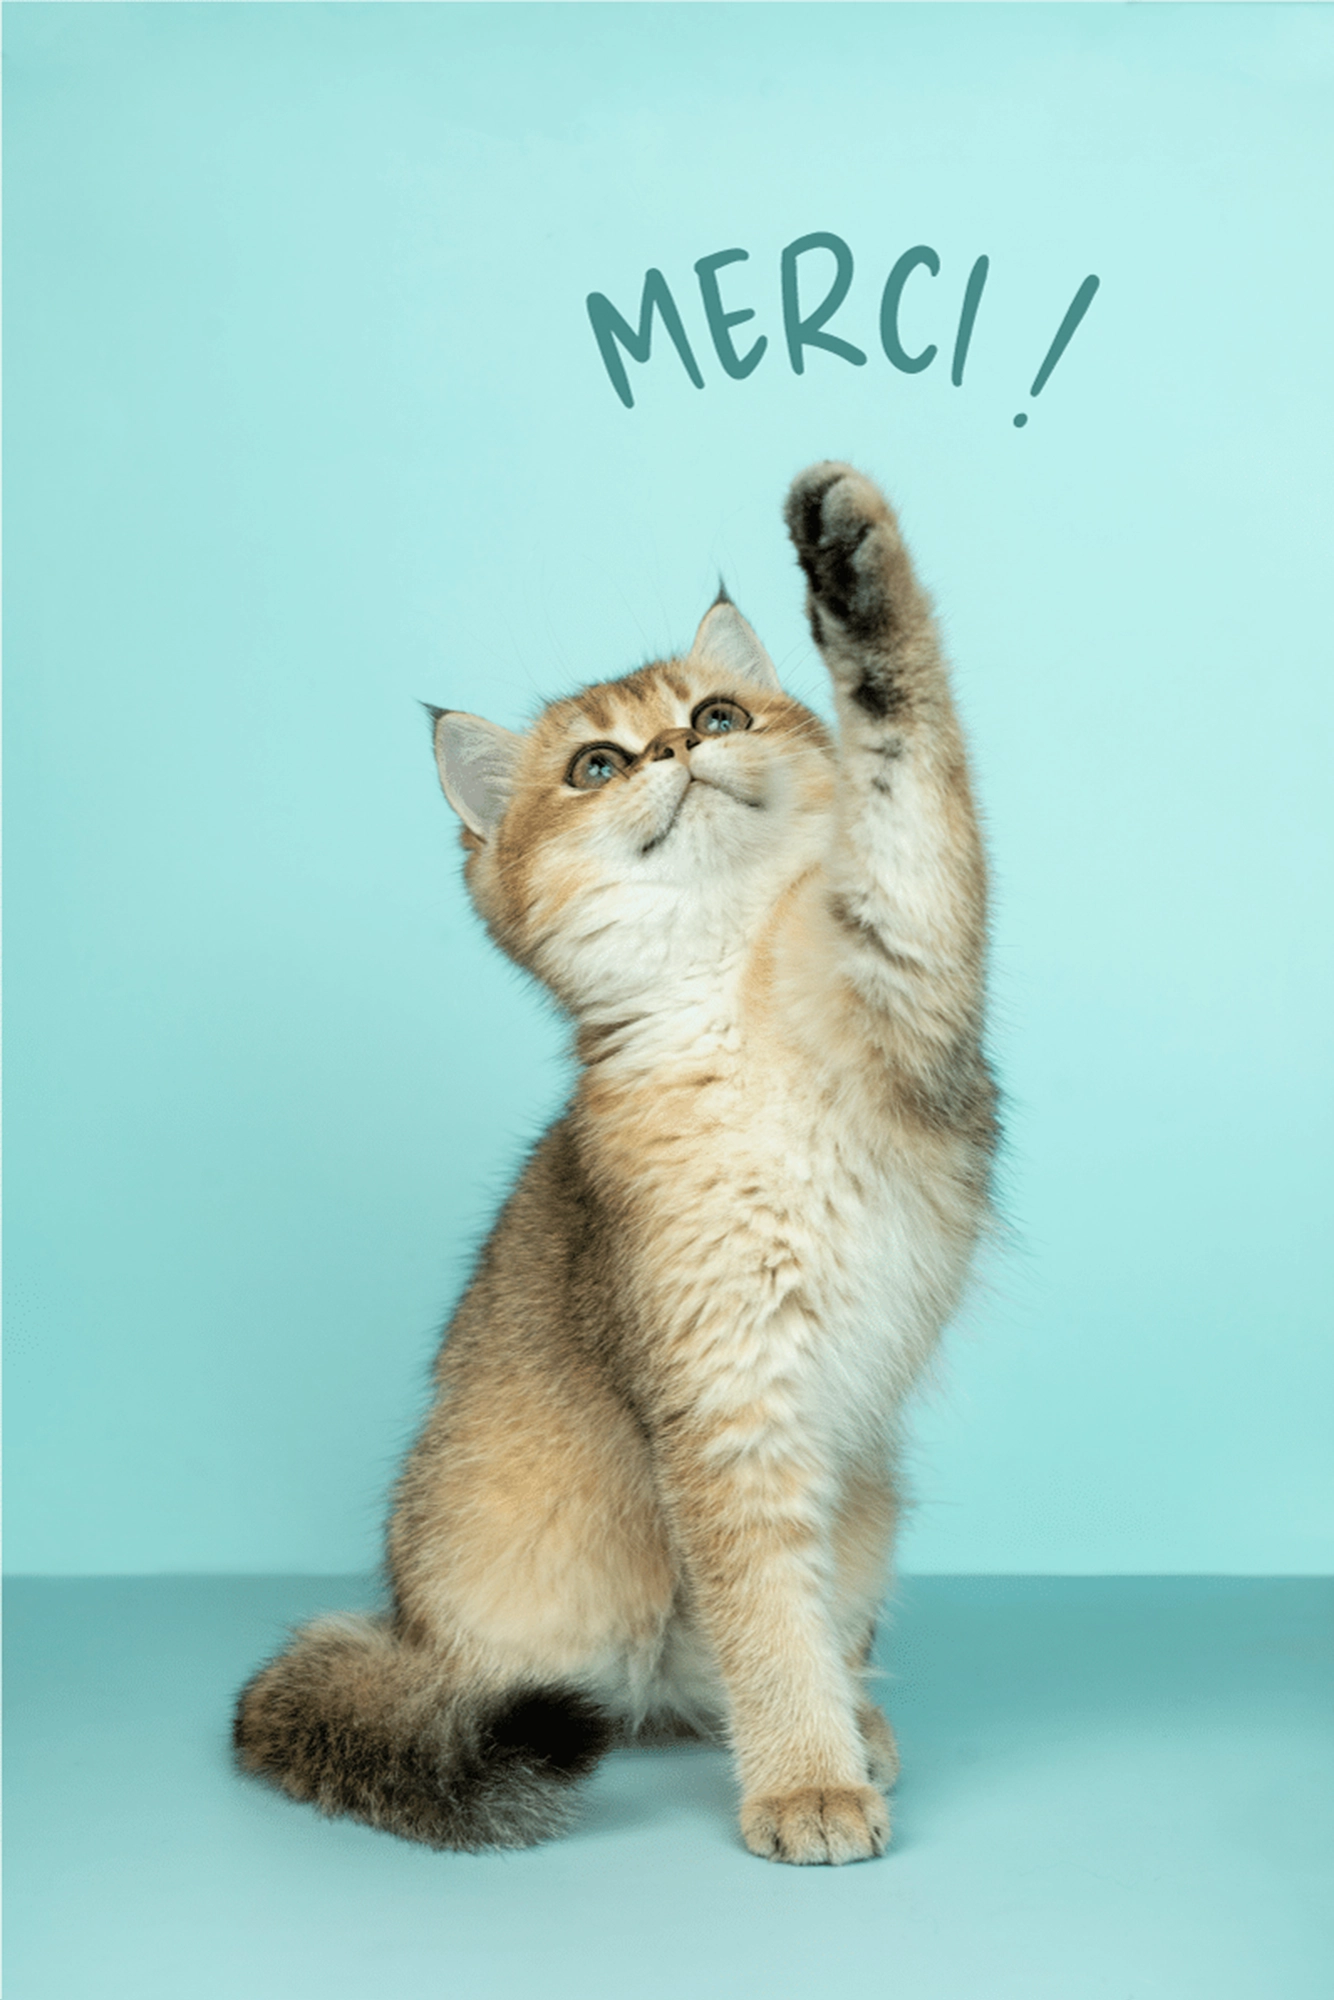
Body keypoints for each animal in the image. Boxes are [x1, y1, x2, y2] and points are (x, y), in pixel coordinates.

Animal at [233, 461, 997, 1866]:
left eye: (716, 712)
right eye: (594, 765)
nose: (674, 751)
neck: (733, 990)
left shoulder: (910, 967)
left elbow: (906, 761)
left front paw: (851, 557)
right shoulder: (721, 1393)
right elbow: (763, 1614)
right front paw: (803, 1783)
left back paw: (857, 1717)